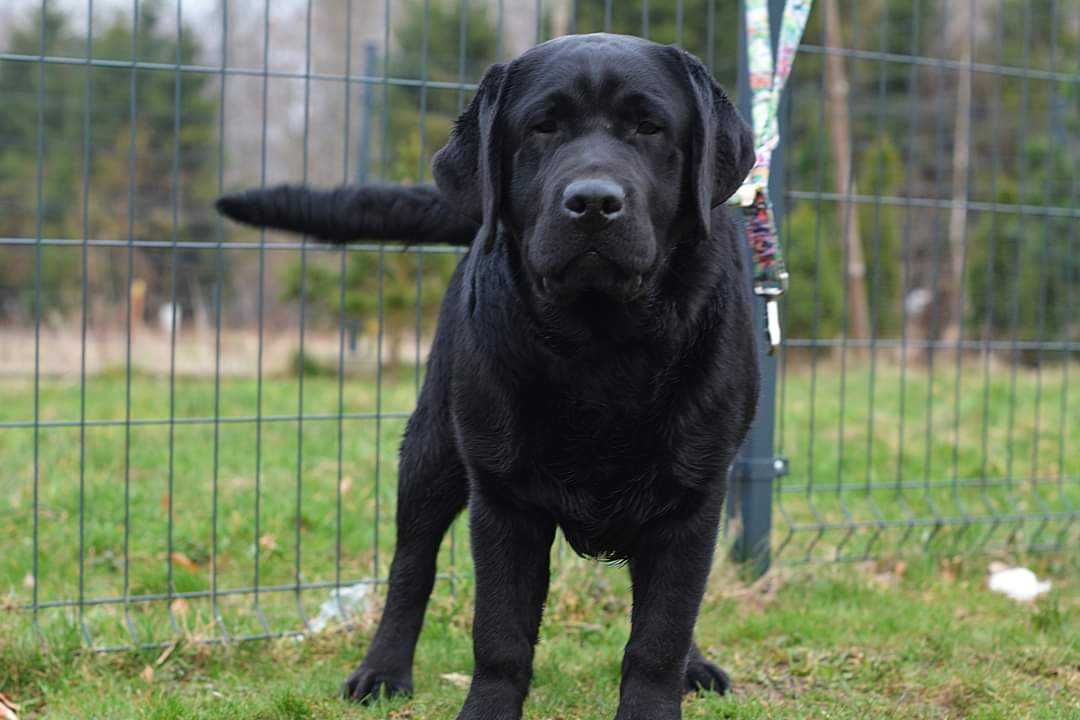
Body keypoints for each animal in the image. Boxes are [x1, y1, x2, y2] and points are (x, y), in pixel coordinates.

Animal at [217, 33, 760, 720]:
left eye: (649, 127)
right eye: (543, 127)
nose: (593, 202)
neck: (601, 345)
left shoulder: (693, 498)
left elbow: (660, 634)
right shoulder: (502, 497)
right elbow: (499, 636)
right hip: (432, 448)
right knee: (410, 567)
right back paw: (382, 670)